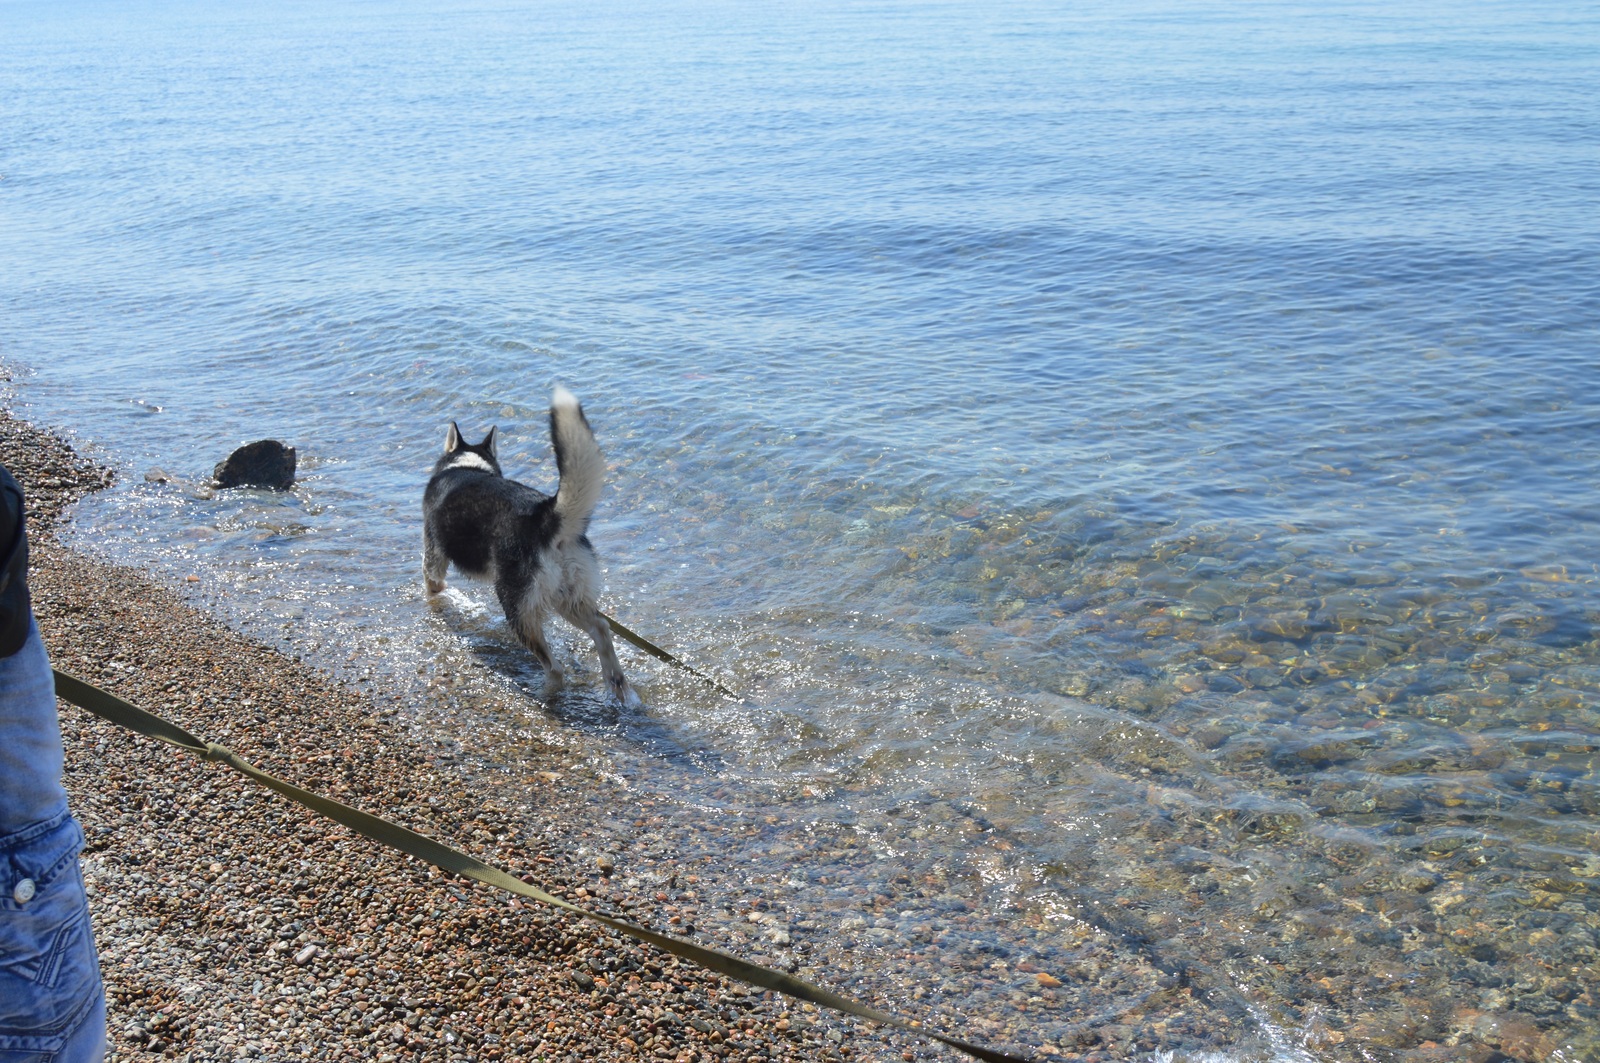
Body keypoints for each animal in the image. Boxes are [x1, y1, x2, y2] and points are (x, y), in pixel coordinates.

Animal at [422, 389, 640, 704]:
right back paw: (617, 683)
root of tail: (546, 516)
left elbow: (433, 584)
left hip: (519, 607)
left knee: (555, 666)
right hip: (567, 598)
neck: (467, 464)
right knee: (601, 627)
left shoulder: (433, 552)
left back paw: (544, 692)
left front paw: (437, 601)